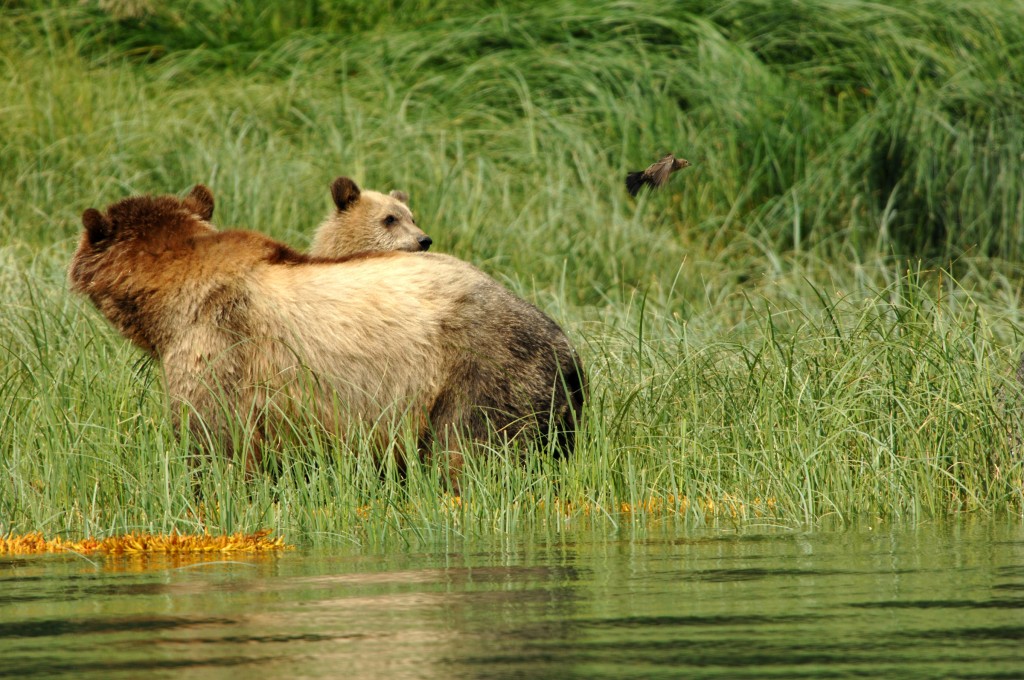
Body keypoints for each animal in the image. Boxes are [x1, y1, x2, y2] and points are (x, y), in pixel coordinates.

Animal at [68, 185, 585, 481]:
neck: (169, 302)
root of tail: (566, 348)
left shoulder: (218, 345)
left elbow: (216, 443)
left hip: (478, 376)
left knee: (472, 451)